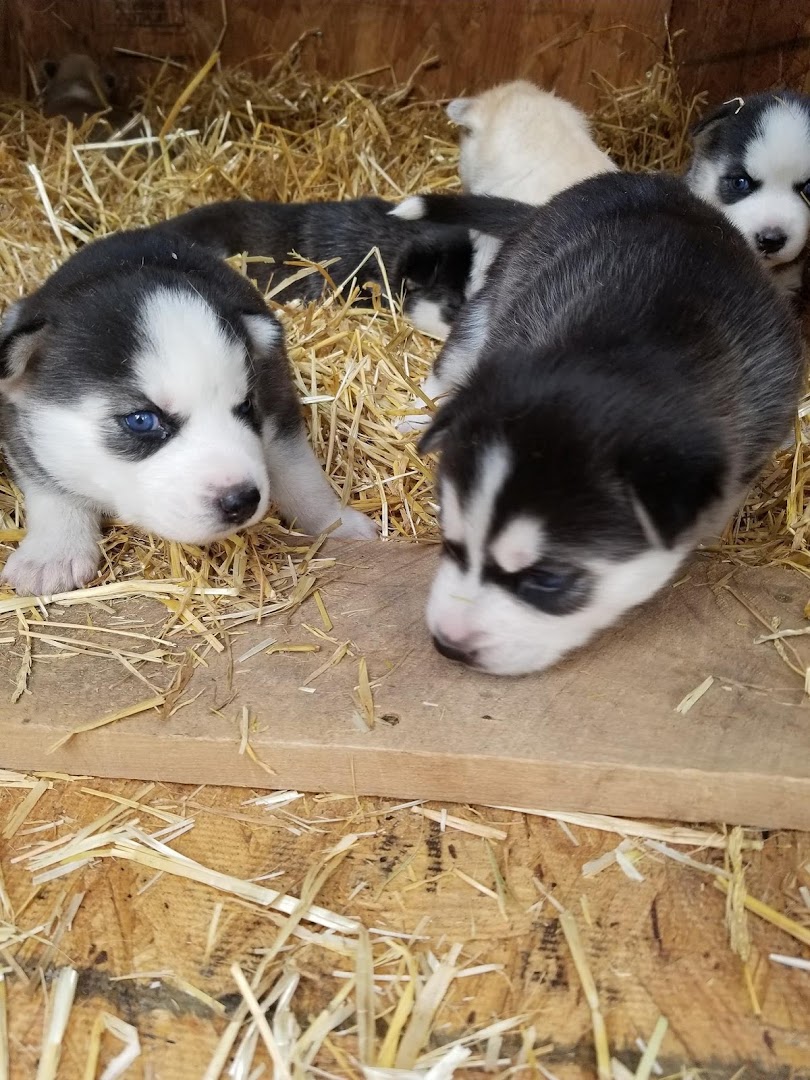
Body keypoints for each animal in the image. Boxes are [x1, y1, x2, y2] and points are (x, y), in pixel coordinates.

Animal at [0, 228, 373, 600]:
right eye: (141, 420)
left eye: (246, 406)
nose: (242, 500)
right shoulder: (17, 432)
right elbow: (50, 489)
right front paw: (53, 552)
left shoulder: (277, 402)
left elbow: (300, 475)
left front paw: (334, 521)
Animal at [393, 172, 807, 669]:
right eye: (450, 542)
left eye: (549, 579)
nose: (447, 645)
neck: (624, 349)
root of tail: (623, 178)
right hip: (491, 303)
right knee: (451, 363)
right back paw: (417, 416)